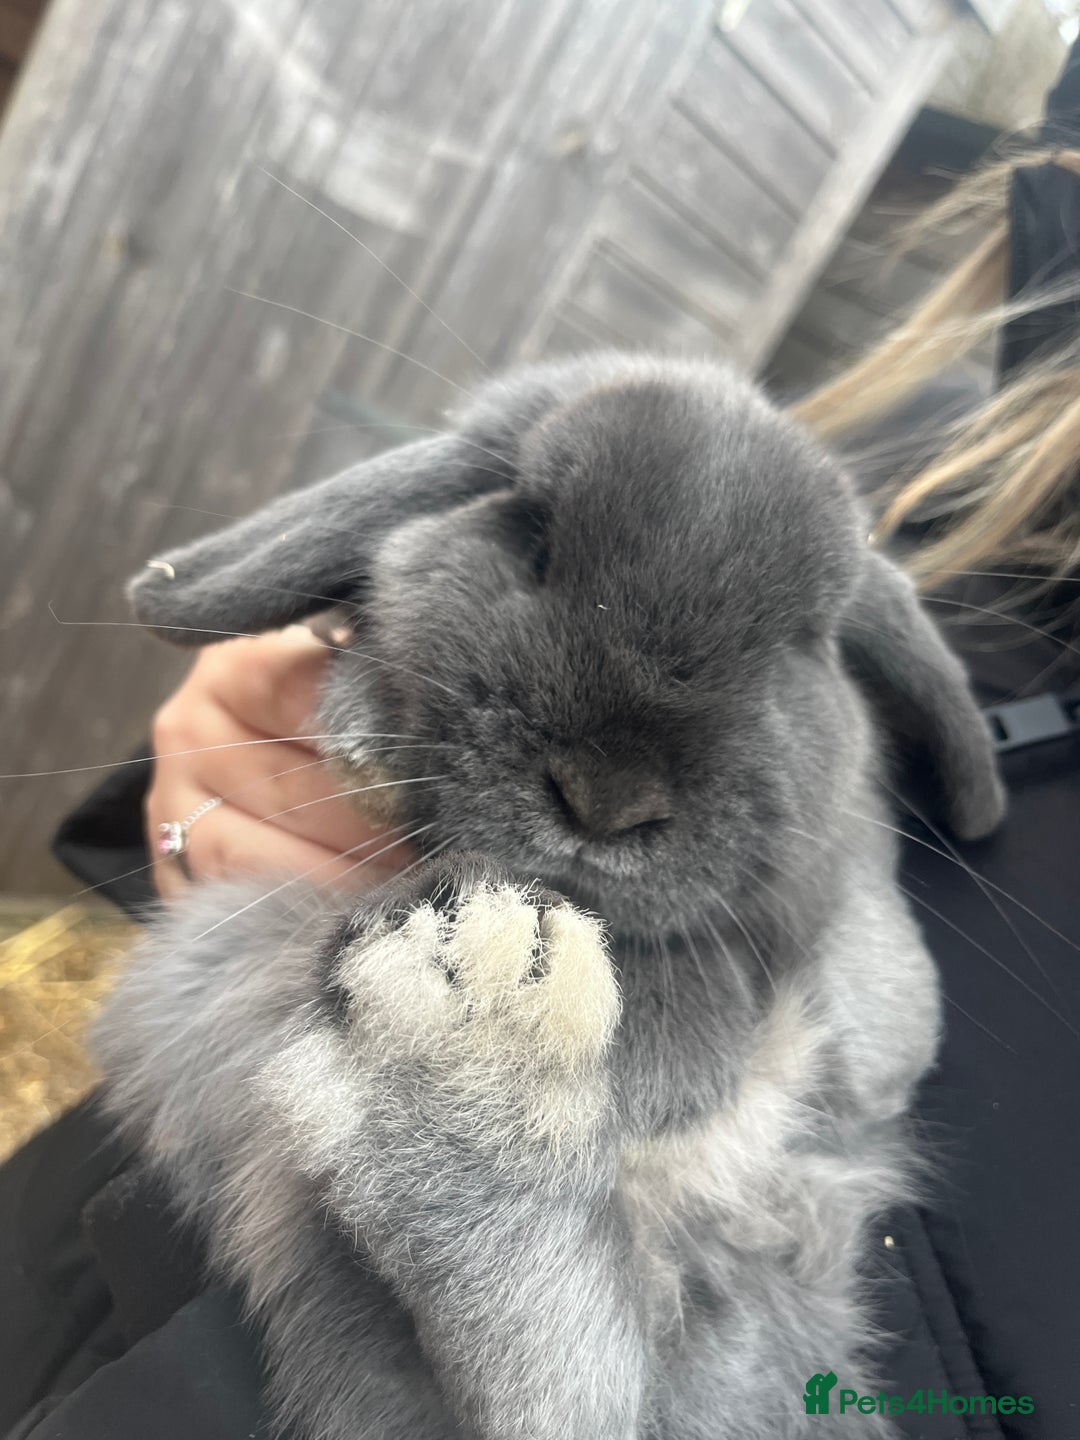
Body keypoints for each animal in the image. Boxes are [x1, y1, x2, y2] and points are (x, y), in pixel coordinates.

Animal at [93, 351, 1005, 1440]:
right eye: (531, 534)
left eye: (803, 640)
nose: (608, 796)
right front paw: (364, 739)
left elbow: (708, 1001)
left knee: (571, 1391)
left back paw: (471, 1036)